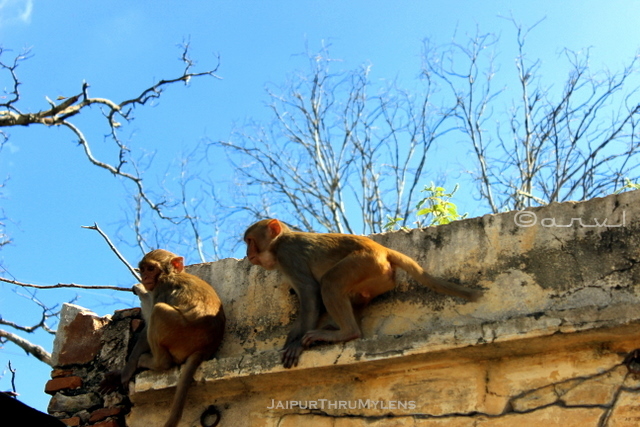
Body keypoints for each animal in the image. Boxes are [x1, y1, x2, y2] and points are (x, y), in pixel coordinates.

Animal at [101, 249, 225, 427]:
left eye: (151, 269)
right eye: (143, 269)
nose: (145, 277)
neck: (172, 274)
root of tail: (205, 349)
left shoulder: (162, 287)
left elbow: (147, 326)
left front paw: (126, 370)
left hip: (179, 334)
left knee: (158, 311)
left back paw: (154, 362)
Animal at [244, 219, 481, 369]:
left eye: (250, 241)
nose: (248, 253)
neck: (278, 244)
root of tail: (383, 250)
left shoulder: (288, 256)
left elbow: (310, 293)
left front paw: (295, 344)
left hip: (364, 263)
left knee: (330, 283)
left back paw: (347, 332)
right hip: (375, 276)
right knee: (356, 296)